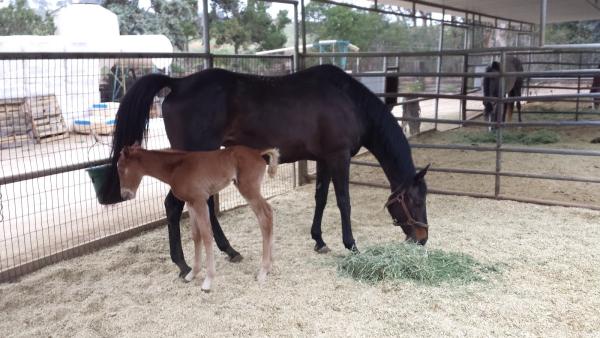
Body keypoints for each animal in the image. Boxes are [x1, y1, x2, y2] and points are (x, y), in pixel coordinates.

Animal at [118, 144, 280, 292]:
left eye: (120, 168)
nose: (125, 195)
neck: (176, 167)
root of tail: (257, 152)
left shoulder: (200, 200)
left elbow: (206, 235)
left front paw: (208, 280)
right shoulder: (191, 204)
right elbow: (196, 236)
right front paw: (192, 274)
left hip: (248, 188)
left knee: (265, 216)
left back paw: (263, 271)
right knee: (269, 214)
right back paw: (270, 265)